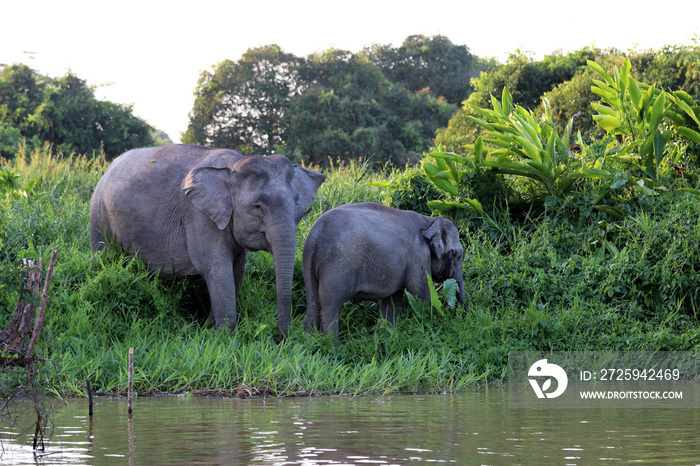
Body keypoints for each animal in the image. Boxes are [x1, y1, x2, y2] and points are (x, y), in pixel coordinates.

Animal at [89, 144, 326, 340]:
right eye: (257, 207)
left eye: (297, 202)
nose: (279, 339)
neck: (235, 164)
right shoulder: (199, 215)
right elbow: (217, 269)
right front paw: (224, 337)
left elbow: (235, 271)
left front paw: (210, 330)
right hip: (98, 214)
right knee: (103, 255)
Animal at [302, 201, 462, 342]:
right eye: (459, 255)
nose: (461, 314)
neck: (428, 220)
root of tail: (315, 233)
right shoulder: (419, 256)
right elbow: (421, 293)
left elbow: (393, 300)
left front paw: (387, 335)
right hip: (338, 264)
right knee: (331, 304)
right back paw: (335, 346)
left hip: (310, 263)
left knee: (313, 300)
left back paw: (310, 340)